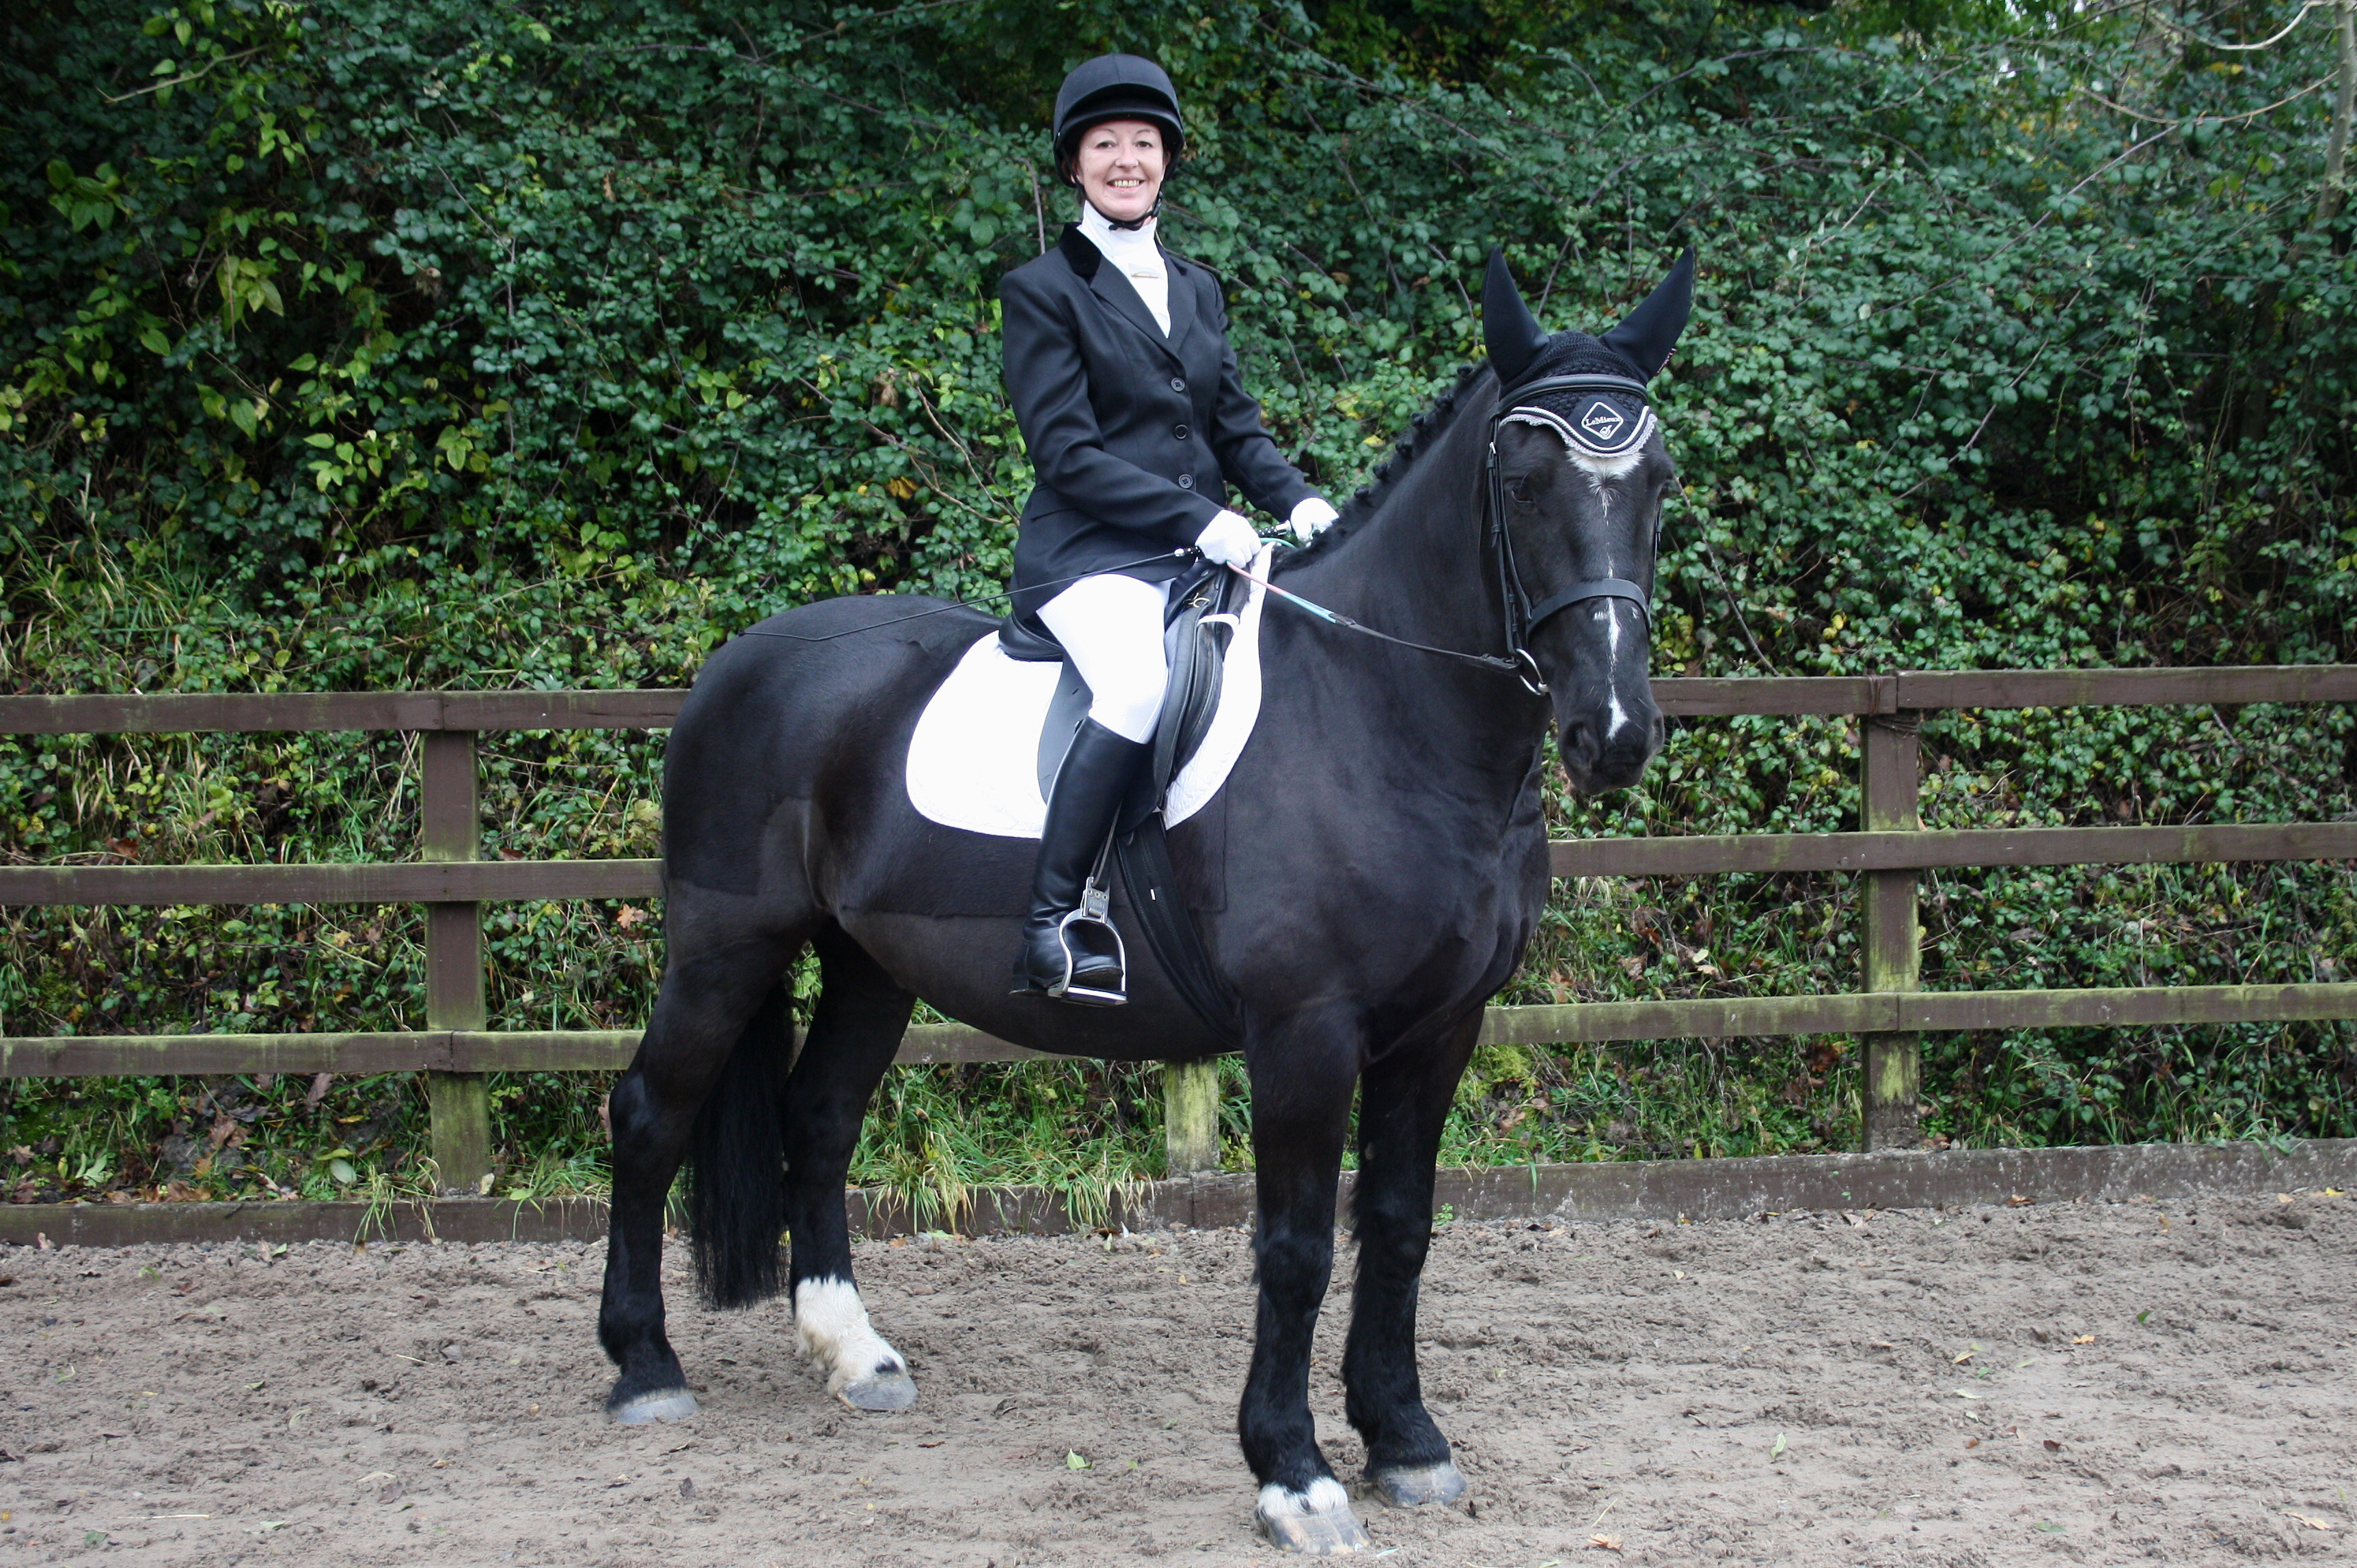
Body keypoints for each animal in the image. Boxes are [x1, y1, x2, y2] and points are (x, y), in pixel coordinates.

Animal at [594, 245, 1694, 1554]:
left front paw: (1406, 1441)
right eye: (1522, 482)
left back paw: (855, 1354)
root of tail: (737, 660)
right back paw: (644, 1368)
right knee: (650, 1114)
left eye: (1659, 482)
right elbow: (1294, 1246)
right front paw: (1294, 1474)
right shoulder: (1304, 1030)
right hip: (727, 946)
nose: (1611, 735)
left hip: (870, 962)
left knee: (817, 1118)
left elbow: (1398, 1223)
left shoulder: (1440, 1028)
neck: (1389, 712)